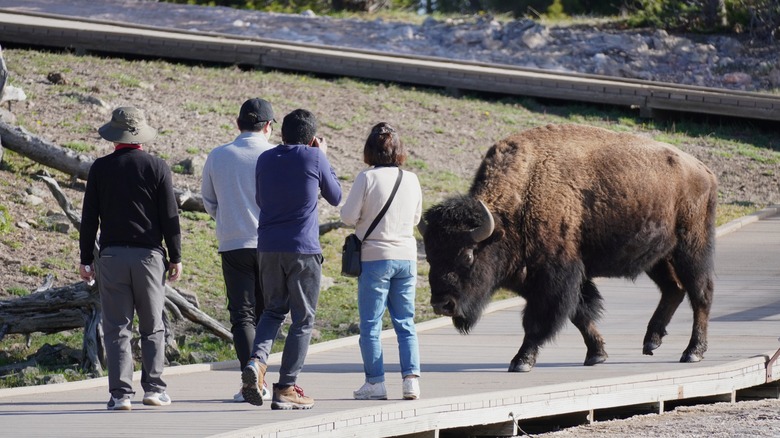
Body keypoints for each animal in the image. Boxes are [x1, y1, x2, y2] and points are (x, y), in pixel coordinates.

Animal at [424, 123, 716, 372]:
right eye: (429, 257)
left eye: (467, 255)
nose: (442, 304)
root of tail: (703, 170)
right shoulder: (556, 278)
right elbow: (580, 314)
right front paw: (596, 354)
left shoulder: (554, 277)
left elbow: (539, 320)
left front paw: (521, 361)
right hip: (658, 257)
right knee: (674, 289)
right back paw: (651, 341)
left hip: (691, 248)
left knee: (700, 293)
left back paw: (692, 352)